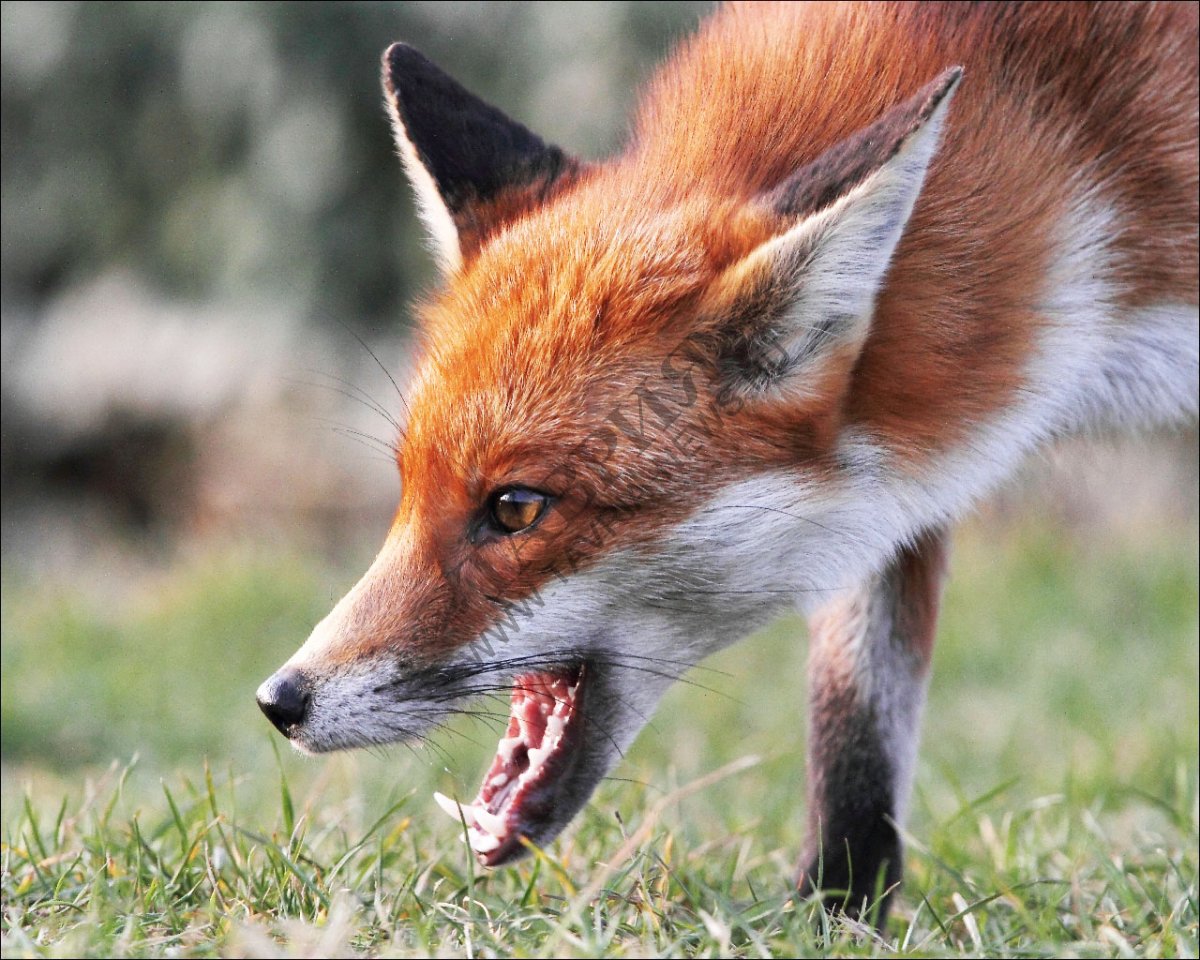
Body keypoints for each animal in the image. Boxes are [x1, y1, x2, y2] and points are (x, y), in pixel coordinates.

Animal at [255, 0, 1200, 926]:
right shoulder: (893, 489)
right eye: (406, 490)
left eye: (516, 508)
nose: (279, 701)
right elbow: (856, 721)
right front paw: (837, 915)